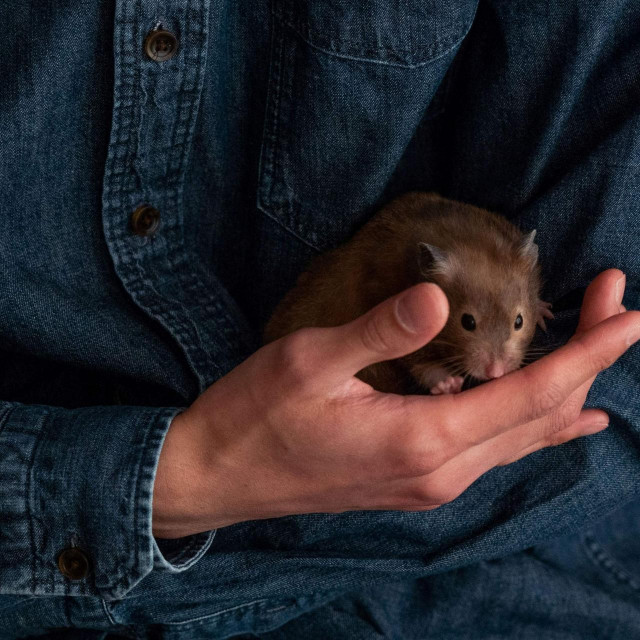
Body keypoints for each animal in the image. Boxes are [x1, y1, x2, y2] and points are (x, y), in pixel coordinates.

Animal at [264, 192, 553, 395]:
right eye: (467, 322)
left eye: (519, 322)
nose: (496, 372)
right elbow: (419, 364)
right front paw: (448, 384)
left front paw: (545, 313)